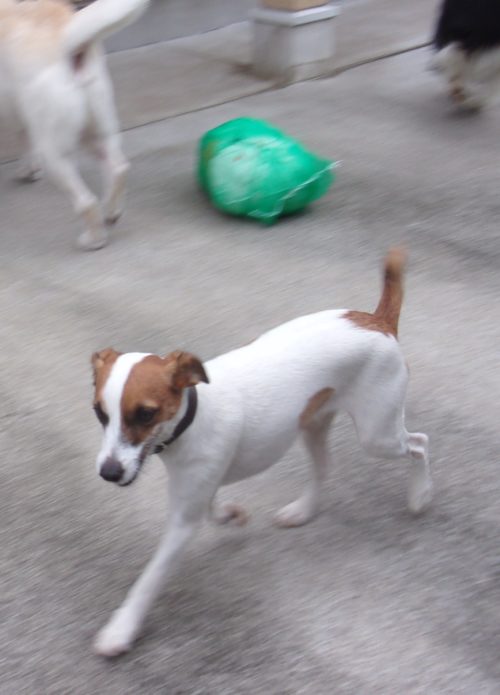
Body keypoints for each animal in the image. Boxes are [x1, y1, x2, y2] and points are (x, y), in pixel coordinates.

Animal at [0, 0, 149, 250]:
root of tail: (68, 44)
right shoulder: (23, 115)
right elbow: (25, 140)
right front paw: (28, 169)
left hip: (56, 154)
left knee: (86, 201)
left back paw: (94, 239)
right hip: (98, 131)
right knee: (118, 168)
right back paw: (111, 211)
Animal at [91, 249, 433, 656]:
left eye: (145, 413)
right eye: (99, 412)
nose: (108, 472)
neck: (194, 414)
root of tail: (377, 321)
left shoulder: (183, 520)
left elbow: (150, 577)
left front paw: (122, 627)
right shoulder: (198, 490)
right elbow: (214, 509)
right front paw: (232, 514)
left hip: (377, 435)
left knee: (420, 443)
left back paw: (419, 496)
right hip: (313, 425)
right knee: (324, 468)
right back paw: (302, 511)